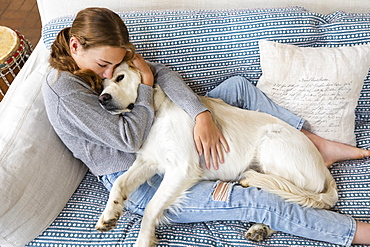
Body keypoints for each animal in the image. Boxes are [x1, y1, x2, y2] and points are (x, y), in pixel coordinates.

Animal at [95, 62, 338, 247]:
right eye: (101, 86)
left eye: (120, 77)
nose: (102, 99)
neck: (157, 111)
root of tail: (325, 171)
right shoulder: (149, 160)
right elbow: (120, 183)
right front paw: (109, 214)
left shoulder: (182, 168)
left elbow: (151, 207)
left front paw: (143, 240)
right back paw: (260, 228)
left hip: (271, 143)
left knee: (289, 194)